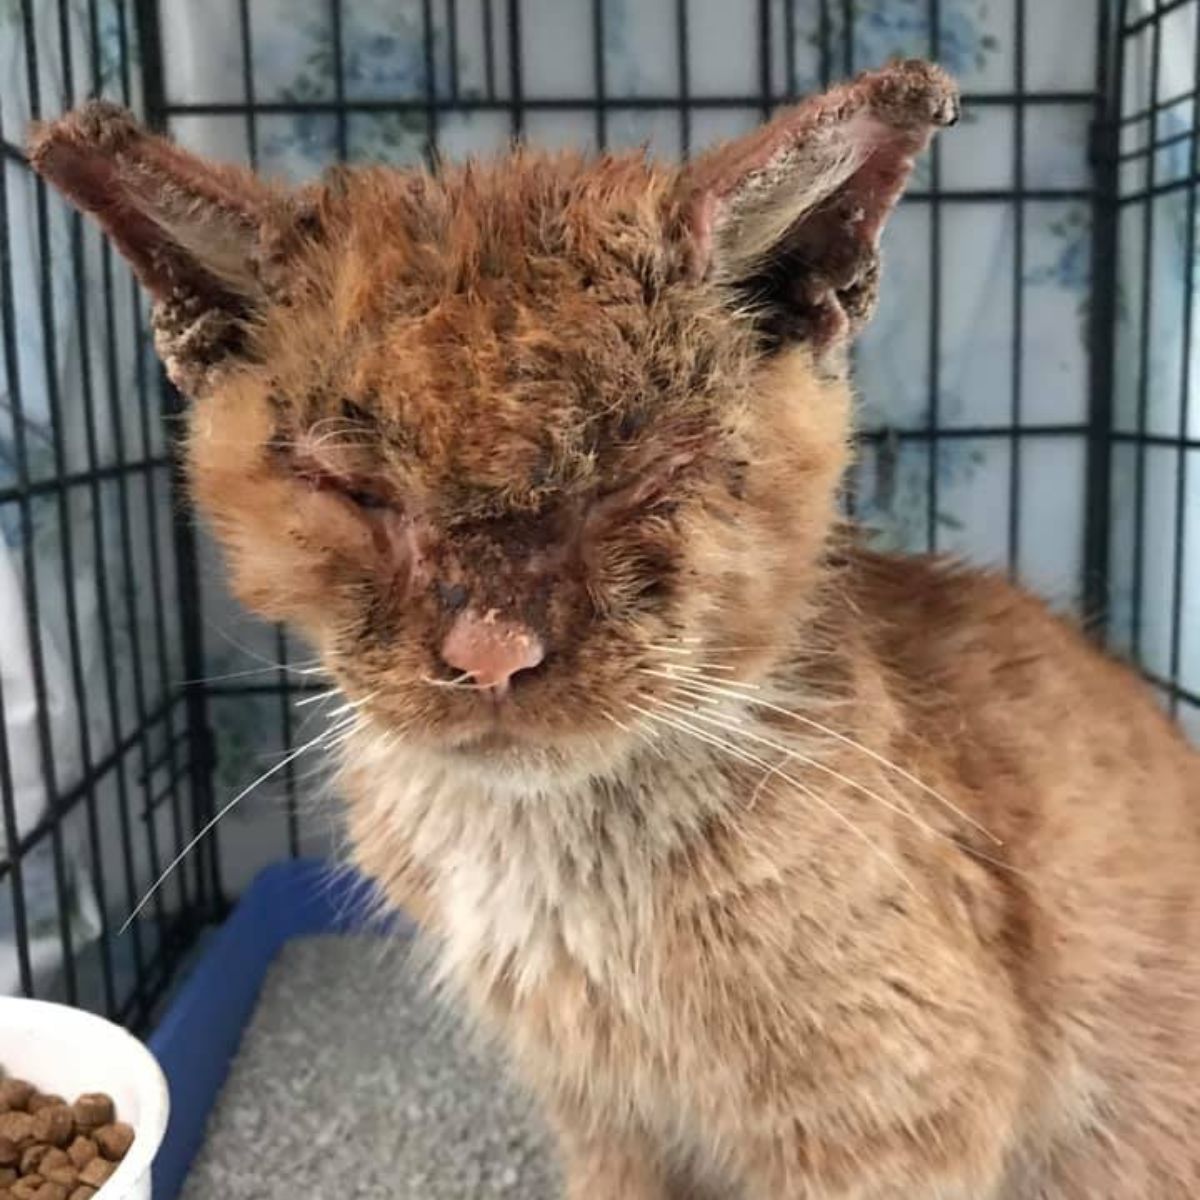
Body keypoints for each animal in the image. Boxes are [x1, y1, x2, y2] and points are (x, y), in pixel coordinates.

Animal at [30, 65, 1200, 1200]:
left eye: (641, 474)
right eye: (356, 490)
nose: (492, 649)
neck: (554, 869)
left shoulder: (892, 1118)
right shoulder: (598, 1110)